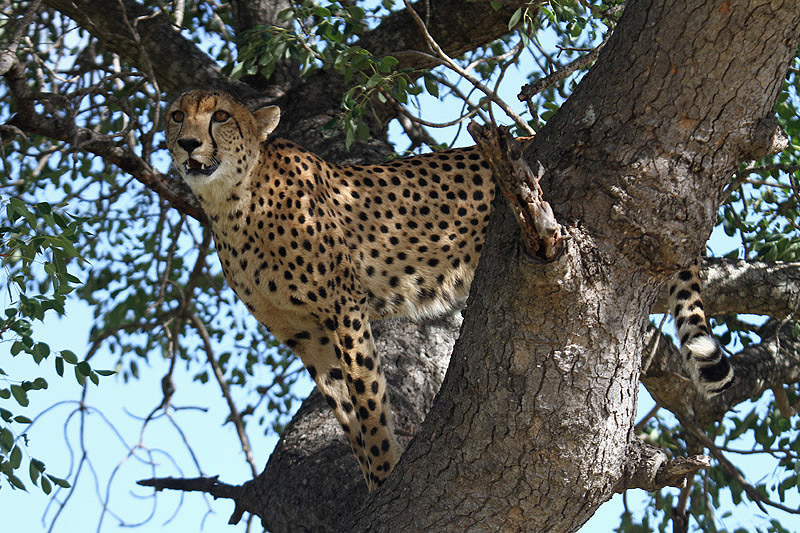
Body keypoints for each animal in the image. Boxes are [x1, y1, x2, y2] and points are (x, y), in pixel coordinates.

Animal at [166, 88, 736, 490]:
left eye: (220, 117)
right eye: (175, 115)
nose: (187, 143)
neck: (230, 201)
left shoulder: (344, 310)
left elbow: (369, 402)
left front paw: (387, 474)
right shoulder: (309, 337)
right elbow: (347, 415)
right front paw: (374, 481)